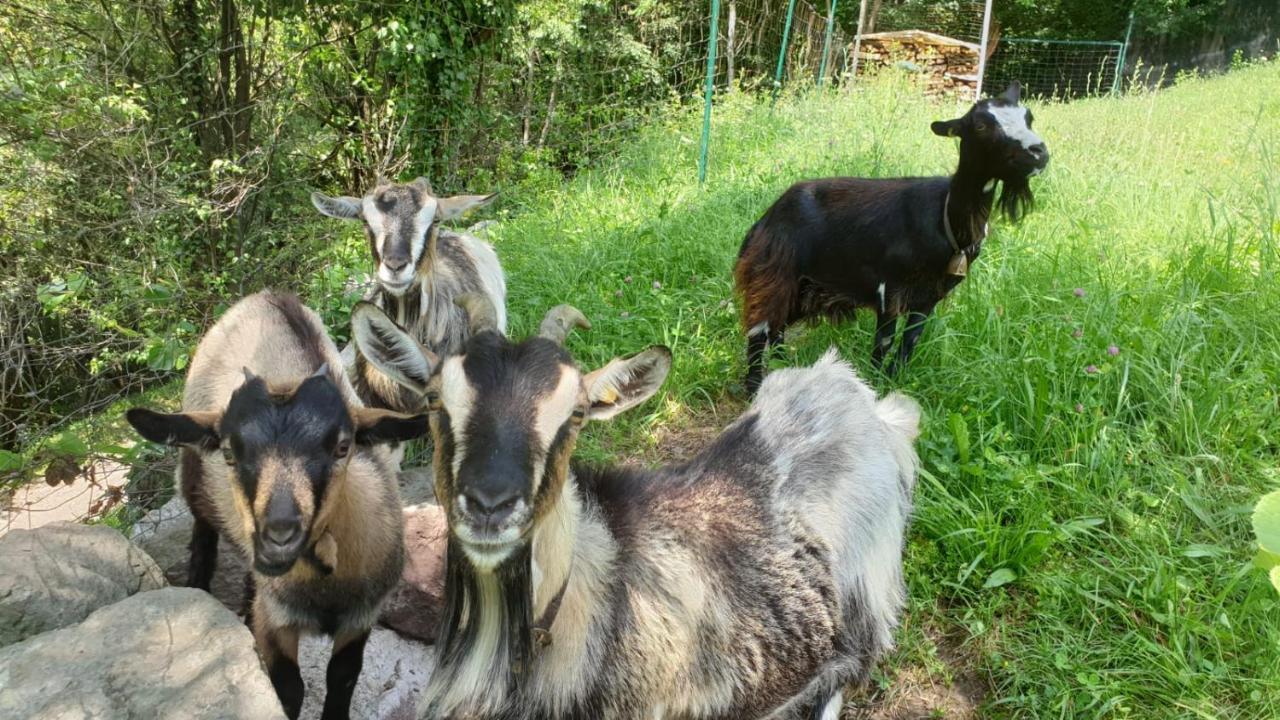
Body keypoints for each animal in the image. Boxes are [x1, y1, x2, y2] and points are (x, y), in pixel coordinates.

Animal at [124, 289, 427, 717]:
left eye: (343, 446)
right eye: (229, 452)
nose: (278, 537)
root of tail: (266, 296)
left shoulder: (361, 616)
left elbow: (343, 679)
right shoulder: (277, 622)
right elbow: (288, 687)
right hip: (193, 480)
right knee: (203, 538)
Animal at [737, 81, 1044, 392]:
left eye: (1028, 117)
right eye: (981, 125)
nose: (1038, 152)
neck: (945, 216)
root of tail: (767, 217)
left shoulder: (930, 295)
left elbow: (910, 342)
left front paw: (894, 380)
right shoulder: (889, 289)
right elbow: (883, 343)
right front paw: (875, 386)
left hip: (804, 286)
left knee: (778, 327)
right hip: (774, 272)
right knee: (759, 329)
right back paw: (755, 386)